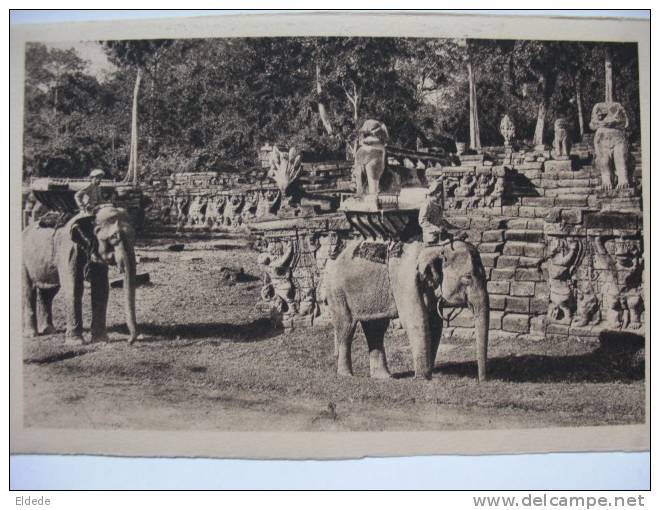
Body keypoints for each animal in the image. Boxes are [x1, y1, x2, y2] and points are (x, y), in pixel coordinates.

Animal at [22, 205, 138, 344]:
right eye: (114, 237)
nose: (129, 341)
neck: (90, 216)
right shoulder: (68, 249)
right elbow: (74, 287)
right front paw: (76, 343)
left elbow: (101, 288)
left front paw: (101, 340)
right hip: (23, 261)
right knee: (29, 291)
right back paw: (31, 335)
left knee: (49, 292)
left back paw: (49, 330)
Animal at [324, 239, 490, 382]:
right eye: (468, 277)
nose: (481, 382)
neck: (435, 247)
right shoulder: (406, 281)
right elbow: (416, 320)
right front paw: (423, 379)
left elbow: (435, 323)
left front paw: (428, 374)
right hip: (337, 291)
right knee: (346, 327)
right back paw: (347, 375)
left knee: (376, 328)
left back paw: (384, 377)